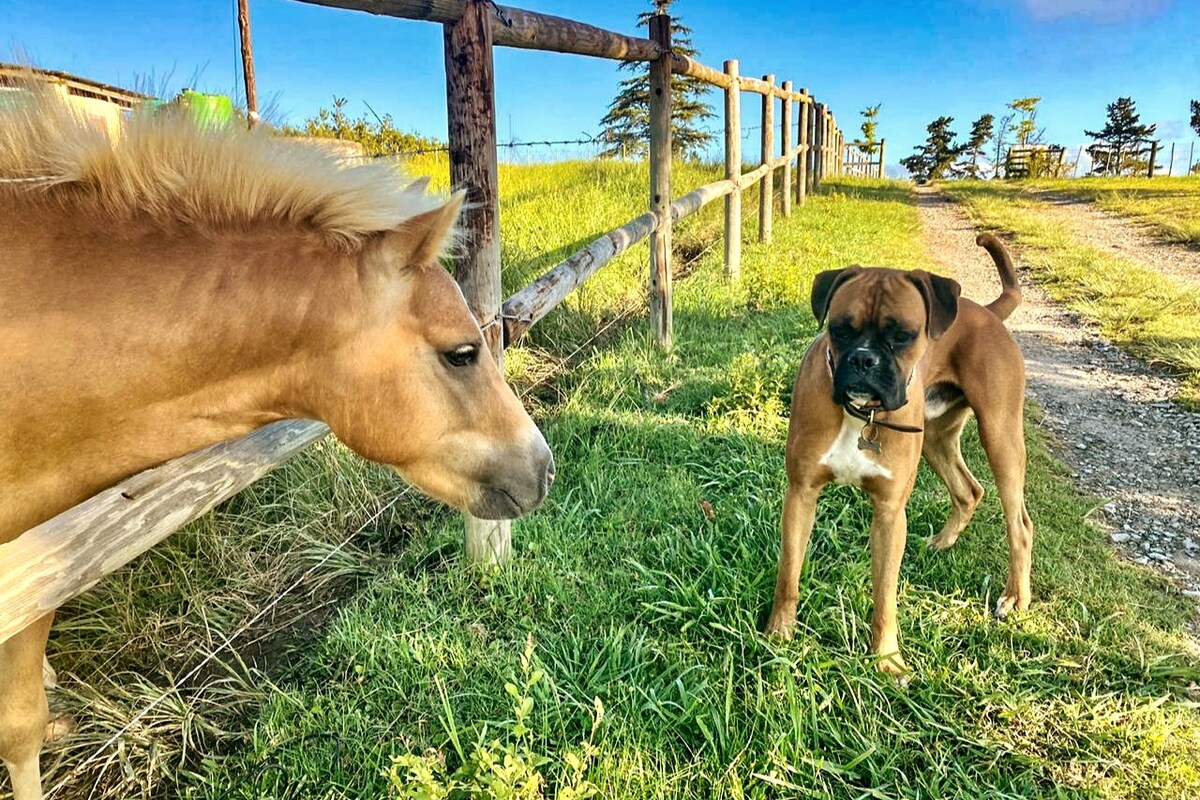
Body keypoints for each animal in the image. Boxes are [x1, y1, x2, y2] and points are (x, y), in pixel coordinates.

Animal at [768, 235, 1032, 671]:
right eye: (840, 329)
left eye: (903, 335)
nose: (864, 359)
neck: (863, 414)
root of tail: (987, 311)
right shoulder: (801, 494)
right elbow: (789, 571)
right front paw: (779, 632)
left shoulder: (890, 513)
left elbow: (885, 596)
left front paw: (887, 658)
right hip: (937, 439)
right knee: (969, 490)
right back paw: (942, 543)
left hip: (1001, 437)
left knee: (1020, 524)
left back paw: (1015, 597)